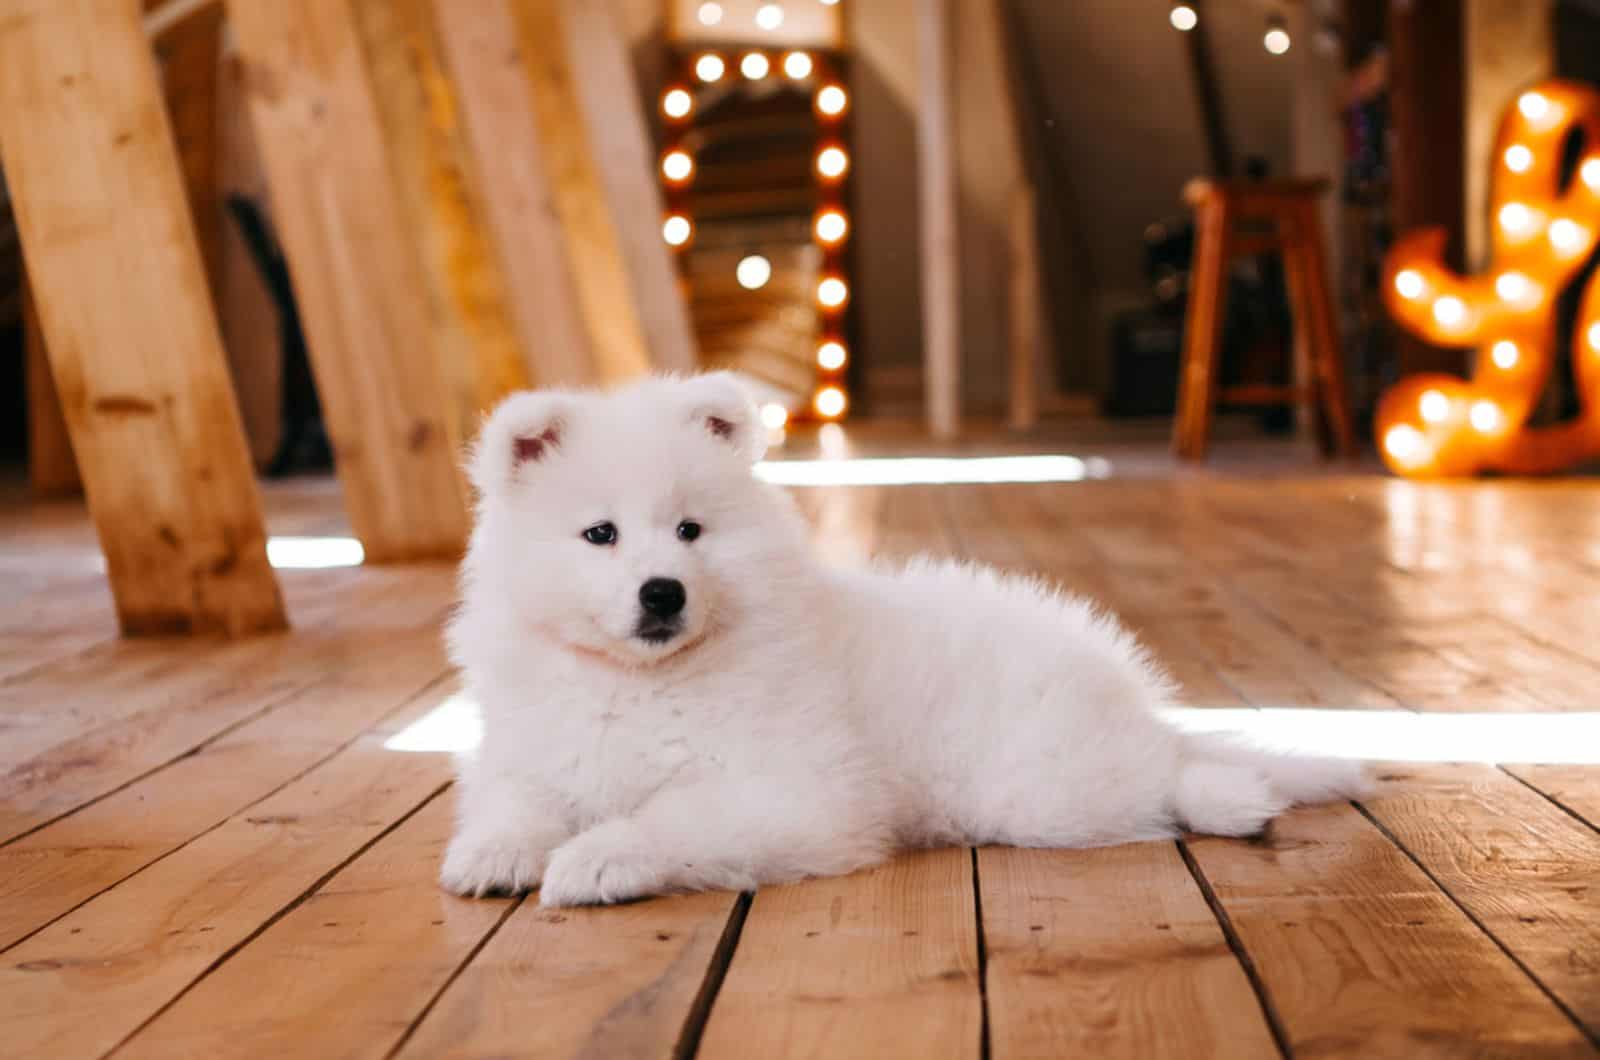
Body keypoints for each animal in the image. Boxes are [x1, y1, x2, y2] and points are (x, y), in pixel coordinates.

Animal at [444, 373, 1369, 903]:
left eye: (689, 531)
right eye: (599, 535)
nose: (662, 591)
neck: (643, 680)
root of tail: (1121, 691)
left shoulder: (795, 792)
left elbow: (673, 818)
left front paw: (595, 860)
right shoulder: (537, 752)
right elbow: (514, 800)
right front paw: (492, 853)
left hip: (1046, 788)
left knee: (1163, 775)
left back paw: (1233, 798)